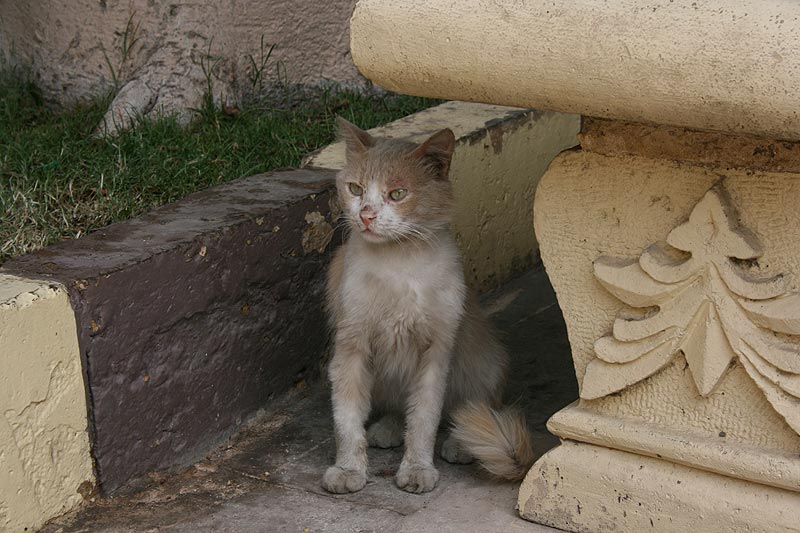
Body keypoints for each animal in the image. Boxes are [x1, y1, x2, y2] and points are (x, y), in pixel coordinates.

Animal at [321, 117, 535, 495]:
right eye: (356, 189)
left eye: (397, 194)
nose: (366, 216)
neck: (398, 266)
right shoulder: (351, 348)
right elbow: (347, 419)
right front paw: (348, 469)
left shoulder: (435, 352)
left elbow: (424, 418)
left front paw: (418, 468)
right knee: (395, 406)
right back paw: (389, 427)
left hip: (482, 363)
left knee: (468, 409)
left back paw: (461, 443)